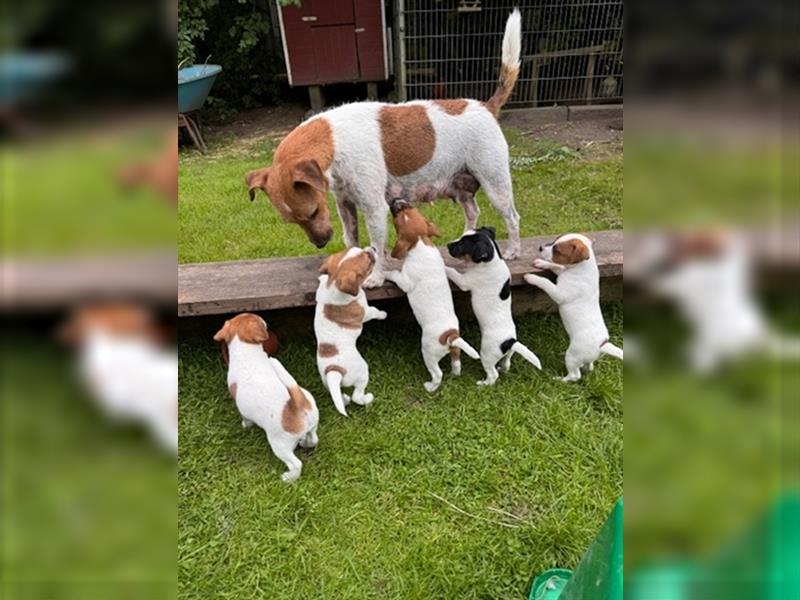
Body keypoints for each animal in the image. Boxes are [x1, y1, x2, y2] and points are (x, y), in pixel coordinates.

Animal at [217, 314, 324, 482]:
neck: (246, 350)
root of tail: (298, 405)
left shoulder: (243, 409)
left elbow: (246, 419)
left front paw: (245, 426)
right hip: (312, 423)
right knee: (313, 439)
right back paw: (304, 443)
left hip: (279, 445)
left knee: (296, 464)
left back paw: (288, 478)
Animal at [314, 246, 386, 414]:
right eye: (368, 260)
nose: (372, 247)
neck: (334, 283)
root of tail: (334, 370)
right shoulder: (365, 312)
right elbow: (374, 311)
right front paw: (383, 314)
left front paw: (321, 278)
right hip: (363, 372)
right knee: (357, 396)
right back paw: (367, 398)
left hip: (329, 384)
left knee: (340, 396)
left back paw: (344, 399)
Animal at [444, 225, 544, 384]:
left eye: (462, 245)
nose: (447, 245)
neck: (491, 260)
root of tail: (510, 342)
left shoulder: (464, 282)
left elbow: (452, 271)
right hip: (508, 354)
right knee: (506, 364)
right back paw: (502, 368)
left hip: (487, 354)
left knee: (492, 375)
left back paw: (483, 383)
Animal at [524, 232, 624, 382]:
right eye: (554, 241)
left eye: (557, 250)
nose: (540, 247)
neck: (581, 267)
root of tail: (601, 346)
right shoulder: (562, 271)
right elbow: (556, 266)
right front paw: (541, 263)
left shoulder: (559, 294)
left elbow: (546, 282)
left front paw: (531, 277)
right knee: (588, 367)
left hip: (572, 355)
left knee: (575, 376)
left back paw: (558, 379)